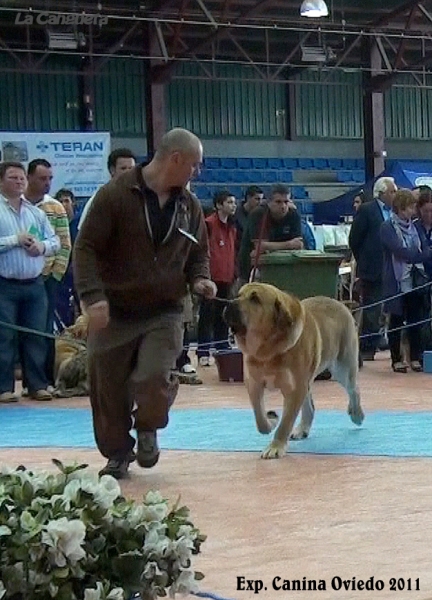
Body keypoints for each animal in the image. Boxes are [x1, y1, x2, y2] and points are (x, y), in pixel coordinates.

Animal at [223, 284, 364, 458]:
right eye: (238, 295)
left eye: (255, 299)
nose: (228, 303)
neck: (267, 349)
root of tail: (340, 303)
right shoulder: (253, 384)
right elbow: (259, 417)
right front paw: (271, 421)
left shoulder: (294, 388)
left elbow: (286, 422)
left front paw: (275, 446)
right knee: (310, 407)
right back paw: (302, 429)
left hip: (342, 367)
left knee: (354, 389)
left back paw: (357, 414)